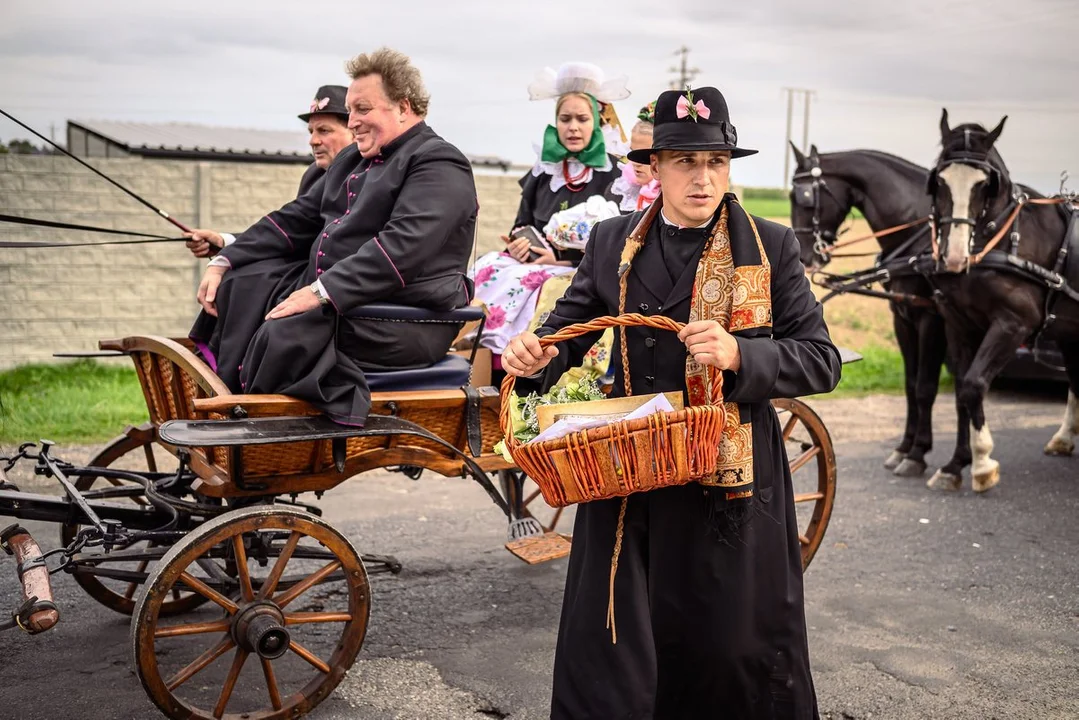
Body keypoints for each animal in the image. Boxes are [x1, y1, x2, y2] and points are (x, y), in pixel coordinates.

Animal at [785, 143, 979, 487]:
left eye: (805, 197)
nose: (805, 257)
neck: (916, 230)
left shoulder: (930, 318)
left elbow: (926, 387)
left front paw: (917, 455)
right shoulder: (901, 316)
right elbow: (911, 385)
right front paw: (905, 449)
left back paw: (959, 463)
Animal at [927, 110, 1079, 490]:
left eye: (985, 185)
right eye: (939, 181)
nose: (954, 258)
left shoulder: (1014, 324)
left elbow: (974, 384)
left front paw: (982, 463)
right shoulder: (958, 324)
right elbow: (961, 393)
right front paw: (955, 464)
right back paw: (1063, 438)